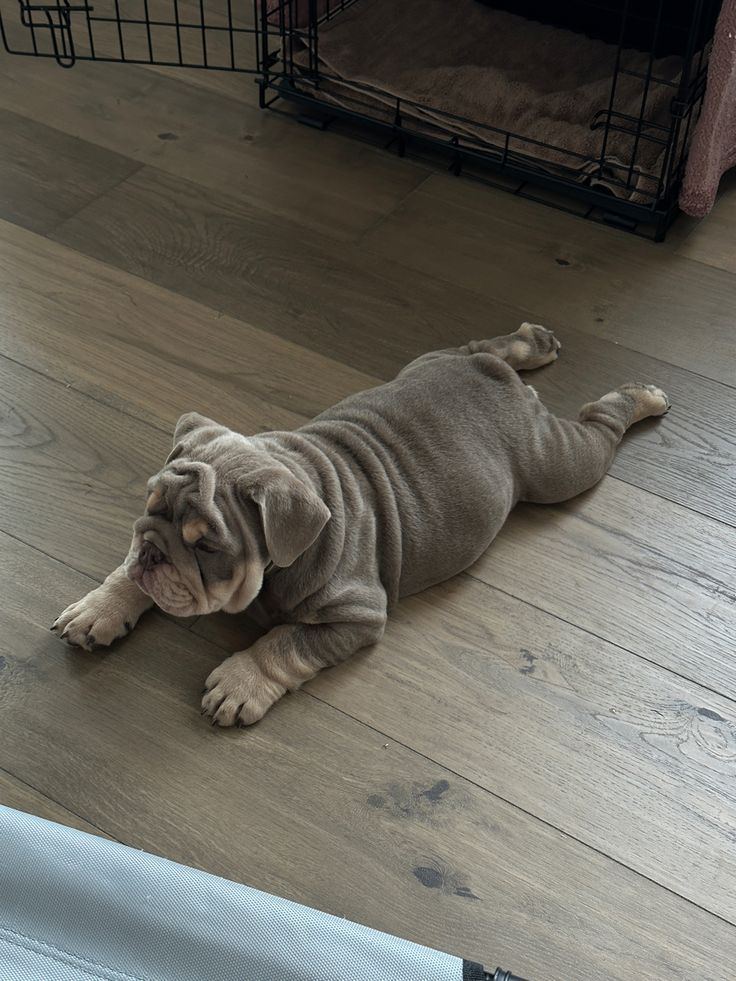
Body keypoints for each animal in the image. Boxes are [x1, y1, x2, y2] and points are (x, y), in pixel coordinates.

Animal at [51, 326, 668, 724]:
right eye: (150, 506)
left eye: (206, 548)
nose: (152, 552)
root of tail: (495, 380)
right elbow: (126, 573)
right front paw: (103, 605)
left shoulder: (354, 615)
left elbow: (286, 641)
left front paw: (241, 680)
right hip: (434, 359)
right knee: (491, 344)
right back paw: (534, 341)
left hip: (554, 461)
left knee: (598, 427)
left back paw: (642, 396)